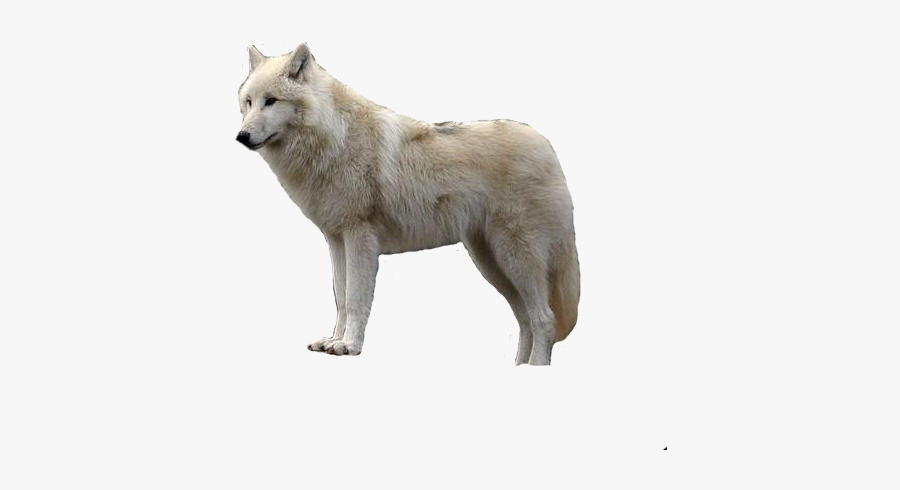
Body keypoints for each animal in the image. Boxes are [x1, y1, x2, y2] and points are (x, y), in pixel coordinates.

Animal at [236, 43, 579, 365]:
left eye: (271, 101)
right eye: (249, 102)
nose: (241, 136)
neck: (335, 137)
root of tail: (547, 146)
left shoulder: (359, 237)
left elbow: (356, 299)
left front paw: (349, 346)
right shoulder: (336, 241)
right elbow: (341, 299)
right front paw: (333, 340)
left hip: (516, 259)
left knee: (545, 320)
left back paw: (536, 366)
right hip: (493, 264)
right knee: (525, 320)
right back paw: (520, 367)